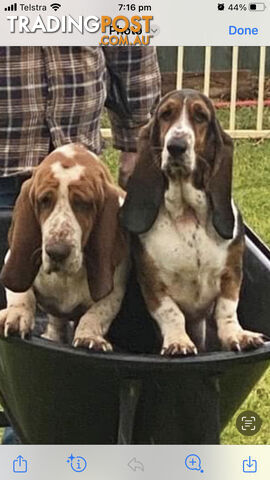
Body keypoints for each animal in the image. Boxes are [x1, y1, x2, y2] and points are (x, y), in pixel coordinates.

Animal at [0, 144, 129, 350]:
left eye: (83, 203)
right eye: (44, 200)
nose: (57, 253)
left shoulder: (115, 287)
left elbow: (97, 312)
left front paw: (89, 336)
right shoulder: (10, 259)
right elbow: (22, 293)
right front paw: (16, 315)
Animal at [121, 89, 264, 356]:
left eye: (201, 116)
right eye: (166, 114)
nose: (176, 146)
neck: (187, 213)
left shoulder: (231, 273)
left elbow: (227, 309)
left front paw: (238, 336)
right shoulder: (153, 284)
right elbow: (171, 313)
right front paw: (178, 342)